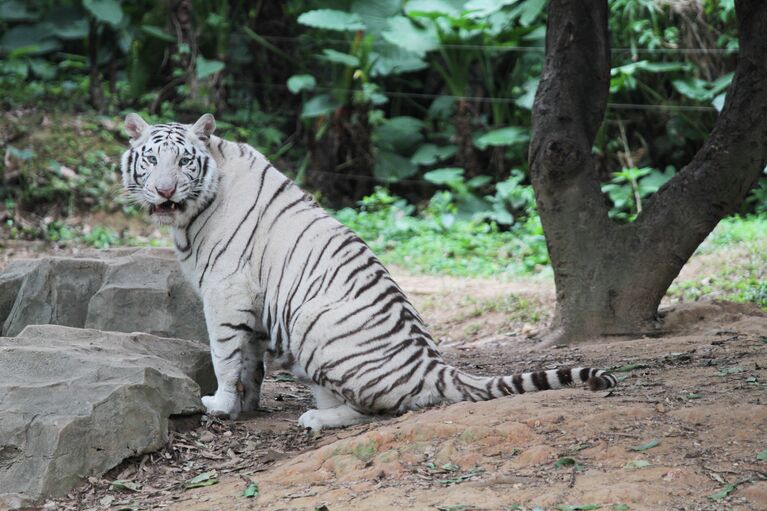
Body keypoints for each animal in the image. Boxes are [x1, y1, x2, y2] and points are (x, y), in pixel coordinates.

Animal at [118, 113, 616, 432]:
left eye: (183, 161)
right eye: (151, 160)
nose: (165, 191)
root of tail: (434, 367)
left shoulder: (226, 291)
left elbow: (225, 354)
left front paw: (220, 405)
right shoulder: (255, 303)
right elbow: (250, 361)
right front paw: (247, 405)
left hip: (309, 322)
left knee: (376, 409)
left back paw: (316, 418)